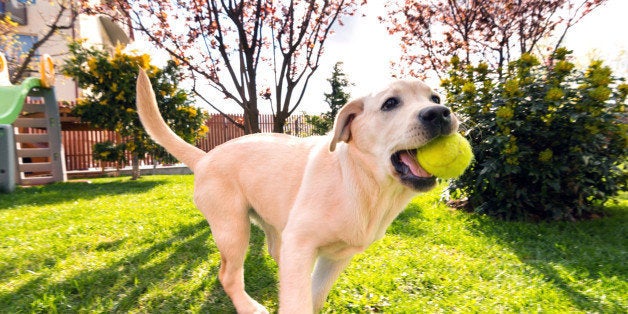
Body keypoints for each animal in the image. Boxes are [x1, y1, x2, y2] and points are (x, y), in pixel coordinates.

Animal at [137, 70, 458, 312]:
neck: (360, 182)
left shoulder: (335, 257)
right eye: (390, 103)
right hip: (233, 227)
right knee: (228, 275)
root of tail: (204, 157)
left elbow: (312, 295)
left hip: (272, 225)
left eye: (436, 98)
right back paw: (249, 307)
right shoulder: (302, 242)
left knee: (276, 256)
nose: (440, 113)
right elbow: (297, 301)